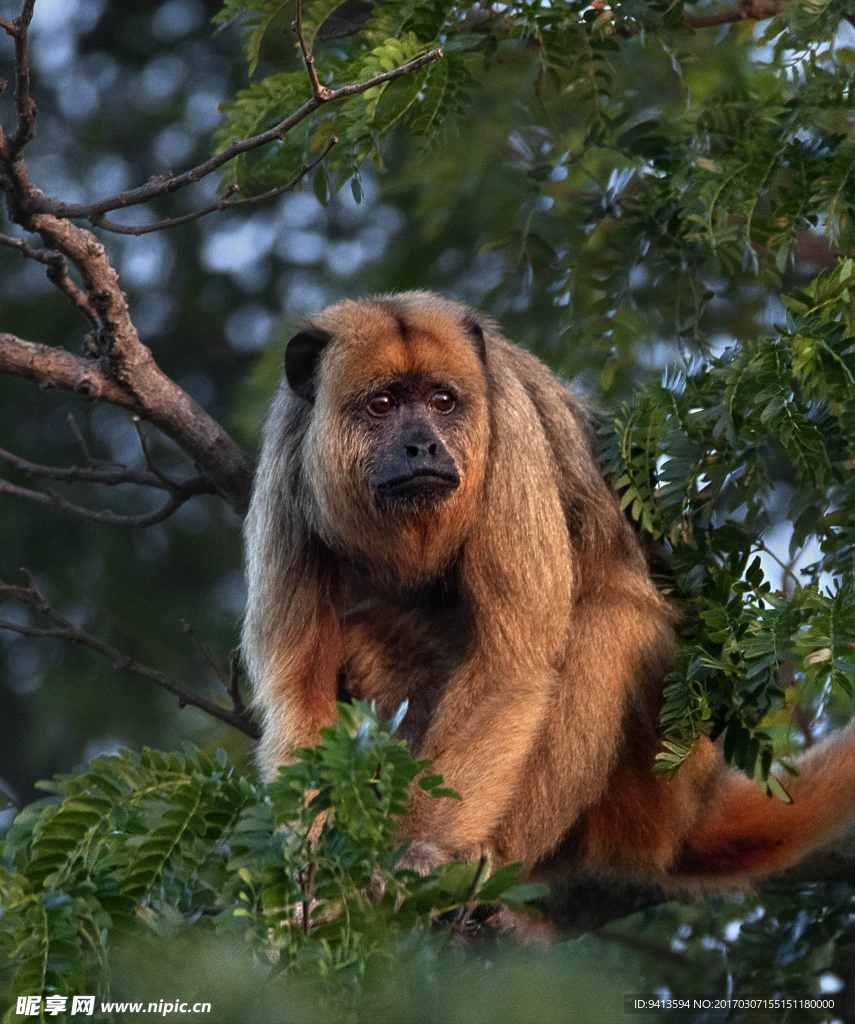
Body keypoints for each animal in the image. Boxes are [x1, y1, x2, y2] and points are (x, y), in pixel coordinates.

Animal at [242, 290, 855, 888]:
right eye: (382, 404)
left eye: (443, 402)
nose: (423, 447)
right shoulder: (286, 467)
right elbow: (300, 689)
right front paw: (310, 873)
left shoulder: (509, 433)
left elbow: (513, 668)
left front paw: (423, 849)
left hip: (658, 787)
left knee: (612, 623)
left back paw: (491, 861)